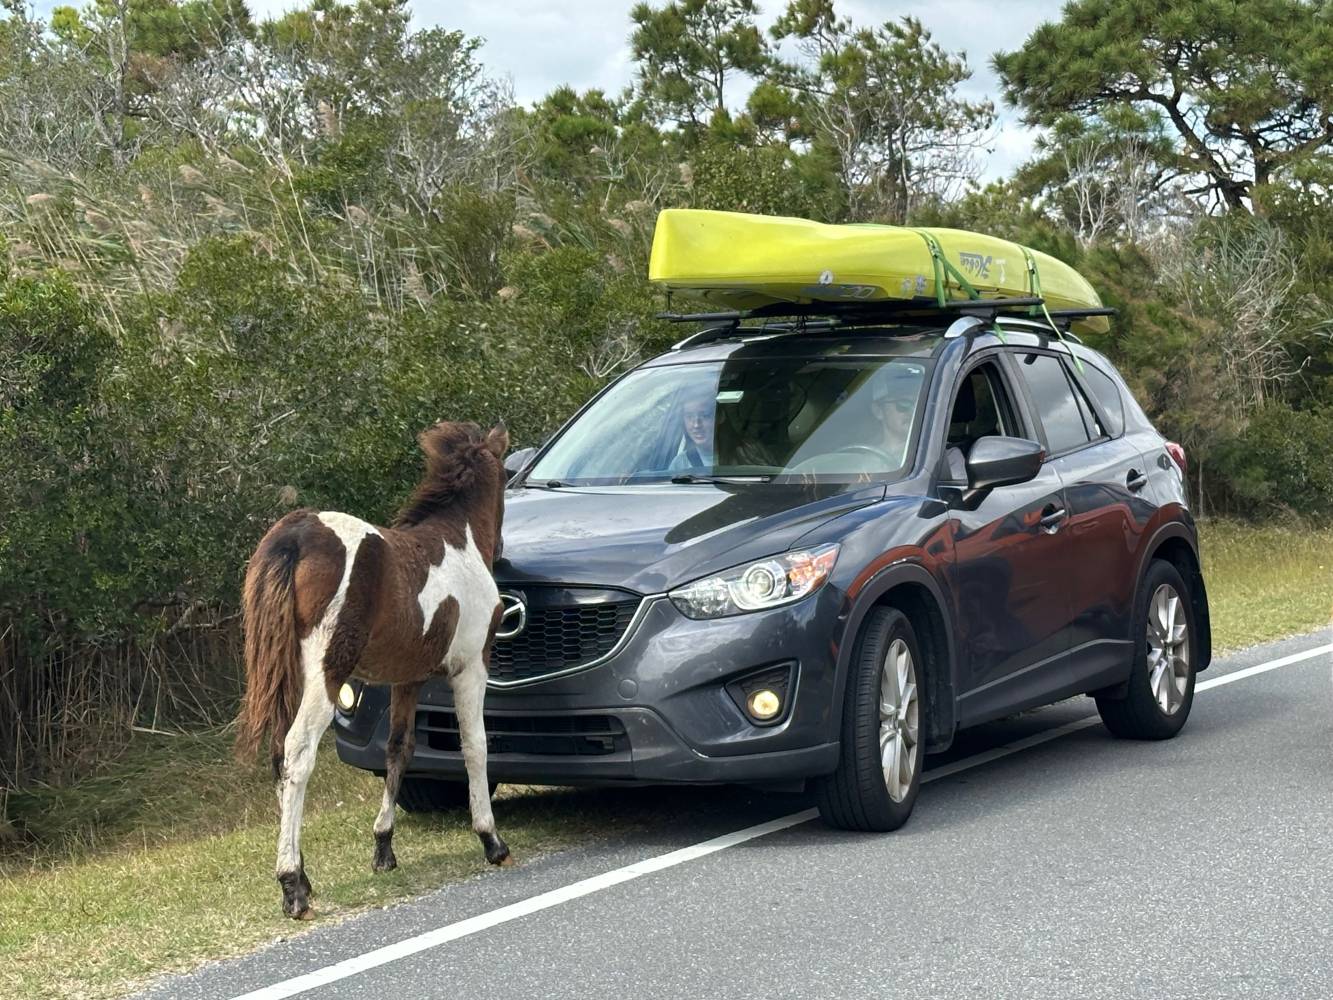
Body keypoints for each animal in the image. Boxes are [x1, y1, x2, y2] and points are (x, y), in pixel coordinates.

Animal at [234, 420, 512, 919]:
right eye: (504, 478)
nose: (501, 548)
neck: (458, 542)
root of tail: (294, 536)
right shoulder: (470, 667)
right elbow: (475, 746)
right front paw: (491, 839)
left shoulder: (407, 678)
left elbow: (399, 749)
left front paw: (383, 848)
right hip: (326, 674)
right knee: (298, 751)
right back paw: (292, 885)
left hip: (289, 676)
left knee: (279, 756)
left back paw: (304, 876)